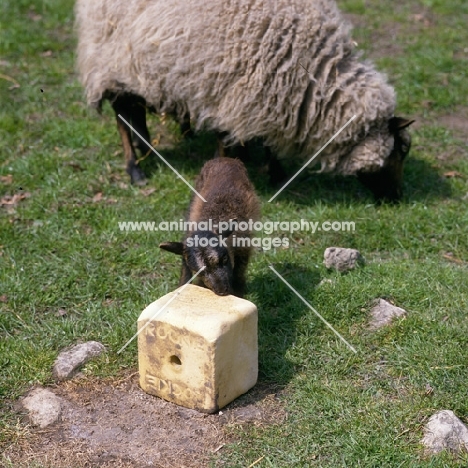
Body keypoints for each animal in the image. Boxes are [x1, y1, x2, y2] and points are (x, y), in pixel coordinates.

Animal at [76, 0, 414, 199]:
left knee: (136, 112)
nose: (396, 197)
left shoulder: (265, 98)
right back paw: (135, 170)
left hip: (141, 70)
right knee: (122, 115)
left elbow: (265, 140)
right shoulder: (237, 91)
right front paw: (260, 172)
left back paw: (148, 150)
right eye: (401, 150)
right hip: (112, 59)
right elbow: (231, 141)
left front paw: (270, 169)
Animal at [159, 156, 262, 296]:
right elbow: (185, 272)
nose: (222, 291)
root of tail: (224, 158)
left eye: (224, 259)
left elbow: (238, 276)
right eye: (200, 272)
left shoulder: (243, 248)